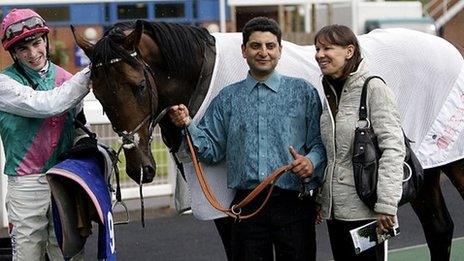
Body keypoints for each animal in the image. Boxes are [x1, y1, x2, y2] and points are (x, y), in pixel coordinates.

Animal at [74, 19, 464, 258]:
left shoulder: (227, 198)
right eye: (98, 95)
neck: (202, 76)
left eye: (139, 85)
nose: (140, 168)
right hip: (421, 173)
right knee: (439, 228)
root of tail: (449, 47)